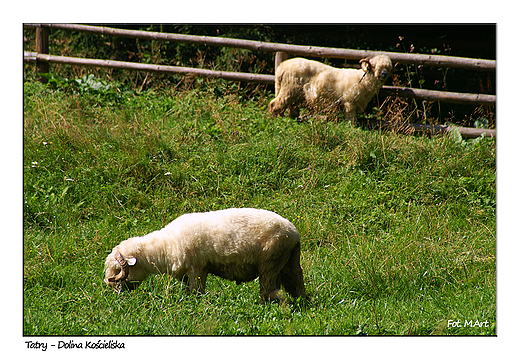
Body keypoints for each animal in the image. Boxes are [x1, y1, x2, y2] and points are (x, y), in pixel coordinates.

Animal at [105, 207, 308, 302]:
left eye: (117, 268)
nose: (111, 289)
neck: (165, 246)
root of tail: (293, 232)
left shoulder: (197, 269)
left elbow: (197, 292)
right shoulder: (186, 274)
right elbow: (189, 292)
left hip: (270, 262)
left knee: (268, 290)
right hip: (288, 260)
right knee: (296, 281)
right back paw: (303, 302)